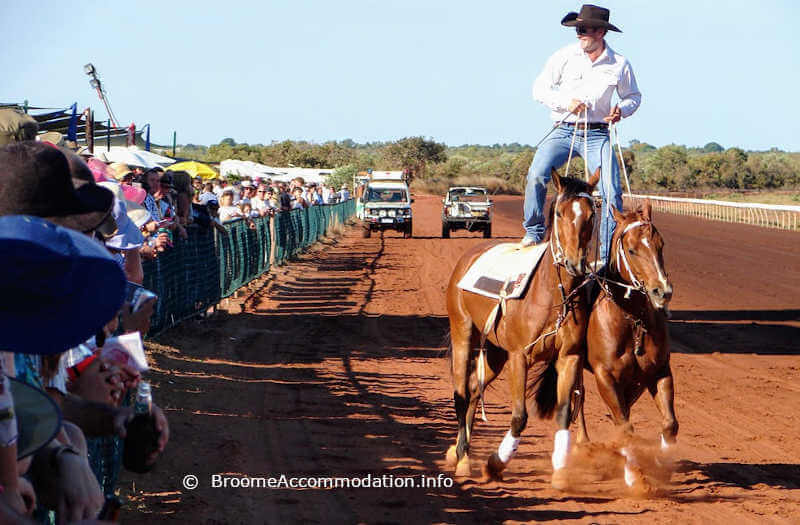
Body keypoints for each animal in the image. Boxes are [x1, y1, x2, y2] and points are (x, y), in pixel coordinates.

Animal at [446, 169, 596, 488]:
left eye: (591, 214)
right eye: (561, 213)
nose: (575, 263)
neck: (552, 296)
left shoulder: (569, 358)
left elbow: (564, 413)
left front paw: (560, 472)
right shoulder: (519, 357)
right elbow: (519, 416)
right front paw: (494, 464)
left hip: (495, 352)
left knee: (474, 390)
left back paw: (459, 451)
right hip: (463, 333)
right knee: (461, 394)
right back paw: (462, 458)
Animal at [576, 203, 676, 486]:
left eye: (661, 244)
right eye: (631, 249)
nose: (662, 291)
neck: (632, 319)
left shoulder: (658, 371)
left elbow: (668, 423)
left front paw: (664, 462)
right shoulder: (605, 376)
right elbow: (625, 428)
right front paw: (634, 477)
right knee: (578, 397)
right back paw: (582, 444)